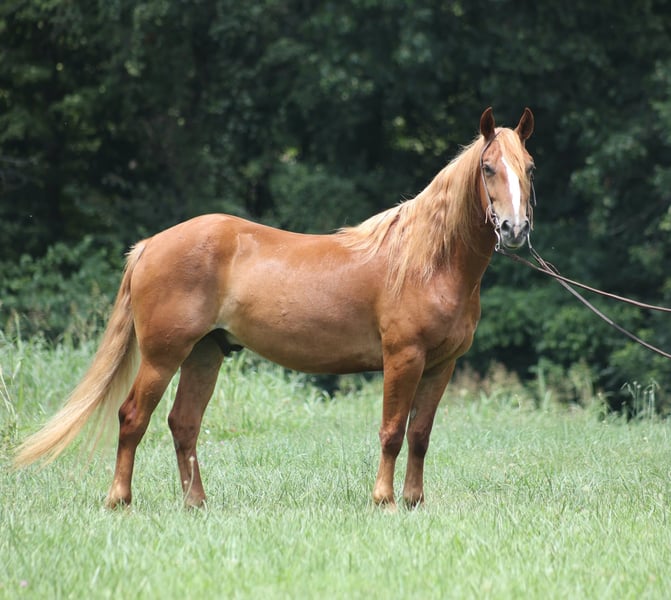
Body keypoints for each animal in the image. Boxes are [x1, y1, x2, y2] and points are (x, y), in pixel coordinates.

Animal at [14, 107, 535, 509]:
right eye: (488, 167)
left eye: (528, 167)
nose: (514, 229)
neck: (427, 261)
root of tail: (148, 246)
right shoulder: (403, 358)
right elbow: (391, 430)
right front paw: (384, 500)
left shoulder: (441, 366)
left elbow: (420, 435)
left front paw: (414, 501)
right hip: (164, 356)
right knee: (132, 418)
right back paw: (119, 499)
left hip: (204, 354)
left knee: (183, 424)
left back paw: (195, 503)